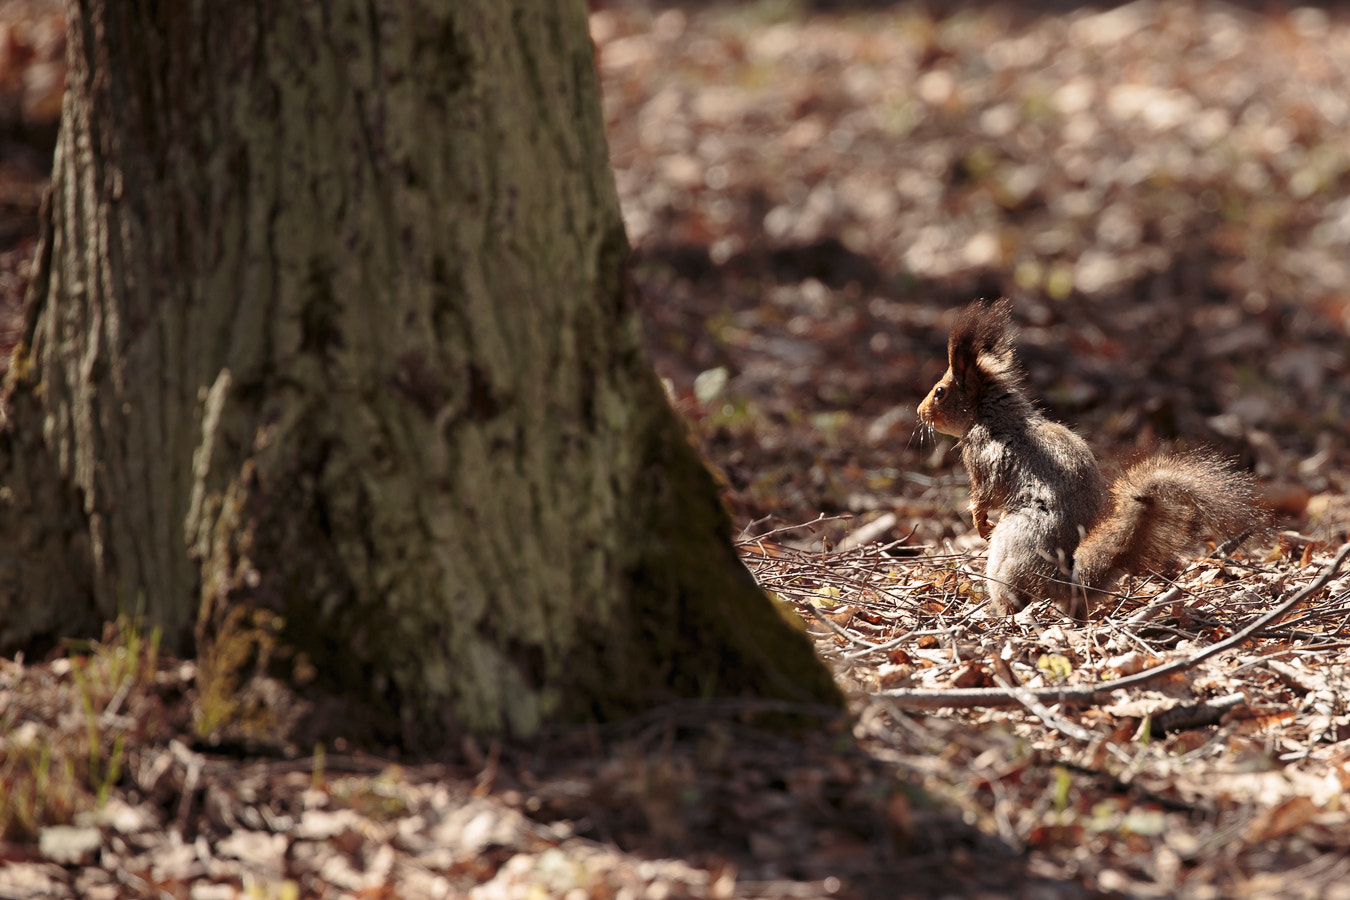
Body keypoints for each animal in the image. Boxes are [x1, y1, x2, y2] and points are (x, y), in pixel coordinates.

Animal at [918, 296, 1263, 620]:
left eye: (940, 392)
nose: (920, 412)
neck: (995, 415)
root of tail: (1067, 581)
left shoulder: (982, 456)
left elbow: (982, 495)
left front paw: (979, 523)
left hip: (1009, 556)